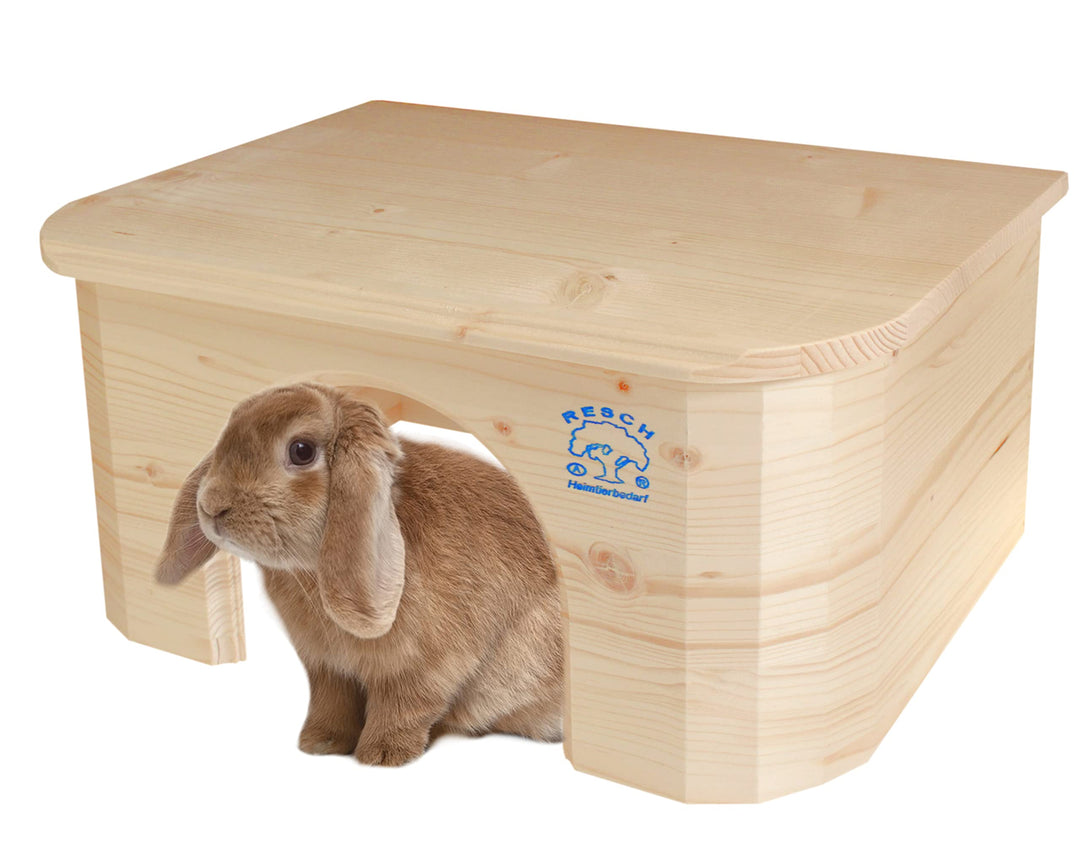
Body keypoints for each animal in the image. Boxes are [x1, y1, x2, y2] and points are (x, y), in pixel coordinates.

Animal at [153, 381, 564, 766]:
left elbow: (404, 707)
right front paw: (320, 744)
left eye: (301, 451)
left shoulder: (425, 666)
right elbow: (331, 703)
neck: (311, 570)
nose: (212, 507)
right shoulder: (327, 669)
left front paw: (382, 756)